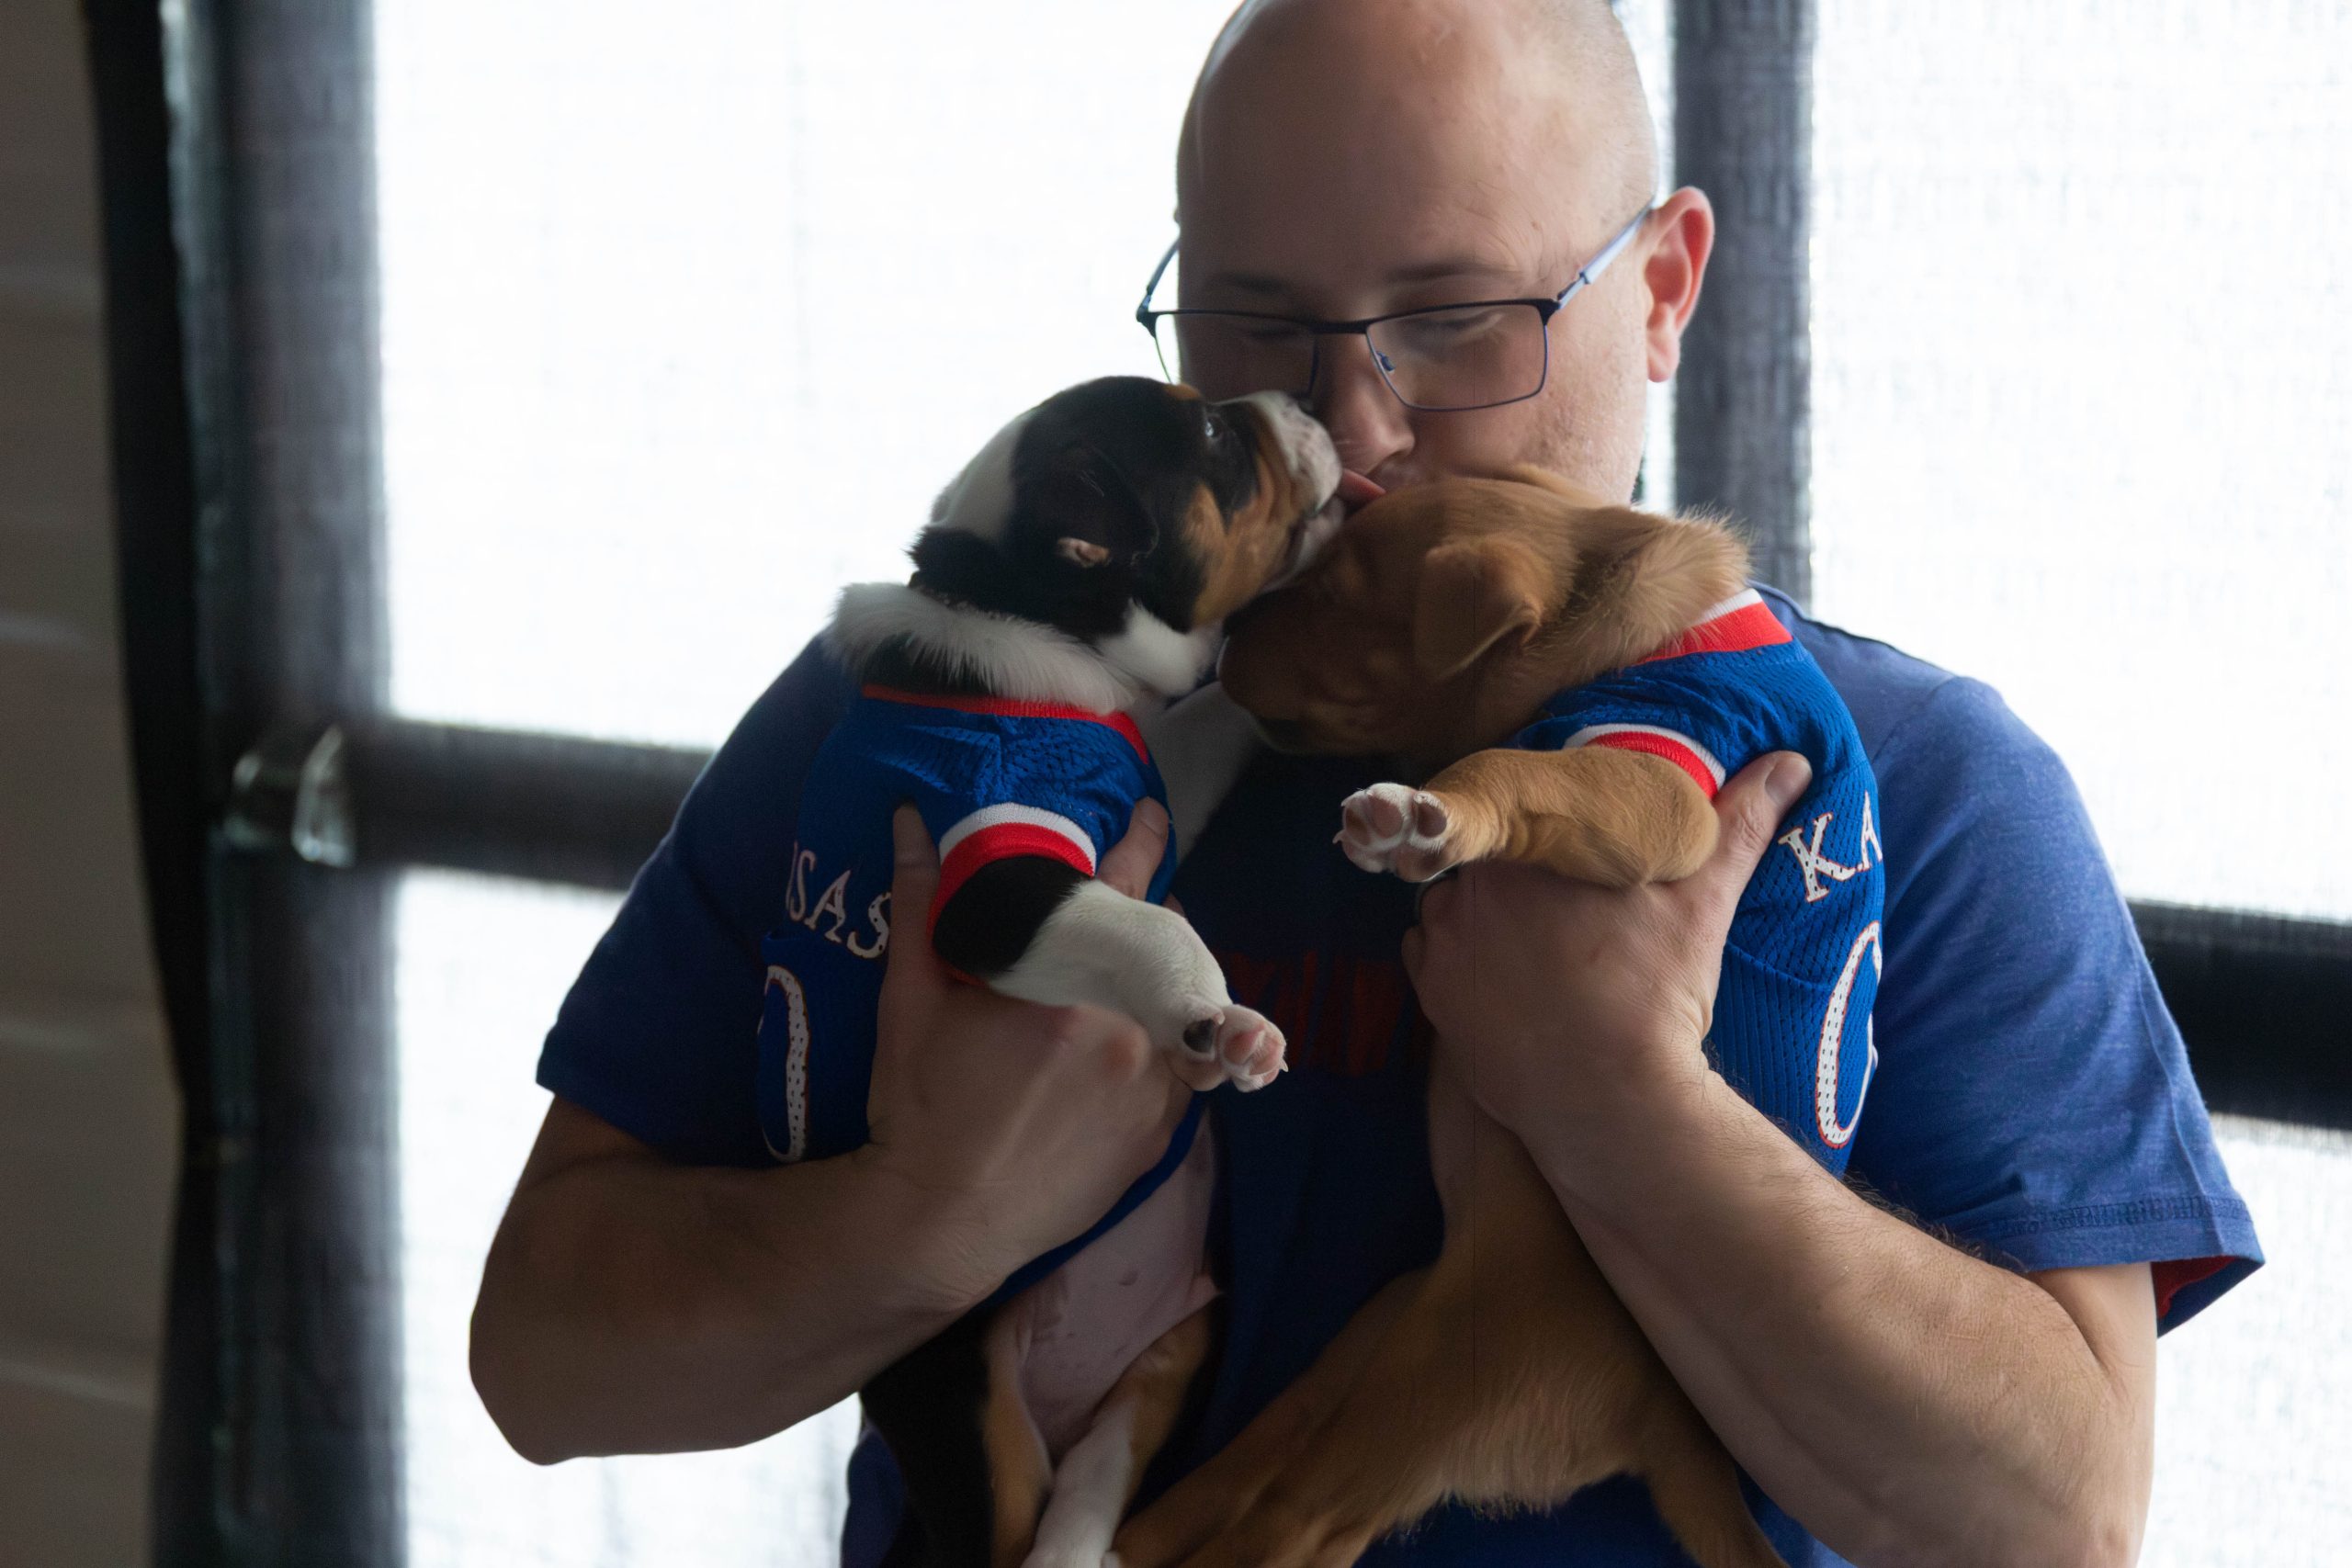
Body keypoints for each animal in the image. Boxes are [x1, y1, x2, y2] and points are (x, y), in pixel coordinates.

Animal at [762, 375, 1344, 1568]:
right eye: (1212, 436)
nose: (1297, 395)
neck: (1019, 603)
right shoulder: (995, 881)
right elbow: (1146, 926)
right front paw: (1216, 1021)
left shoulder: (1151, 776)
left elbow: (1207, 724)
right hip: (964, 1407)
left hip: (1171, 1354)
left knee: (1088, 1487)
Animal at [1110, 466, 1883, 1568]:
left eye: (1338, 599)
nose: (1230, 632)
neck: (1611, 605)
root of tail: (1670, 1431)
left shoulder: (1669, 769)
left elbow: (1519, 769)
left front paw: (1424, 812)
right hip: (1385, 1338)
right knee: (1259, 1463)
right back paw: (1140, 1528)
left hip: (1444, 1386)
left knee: (1289, 1523)